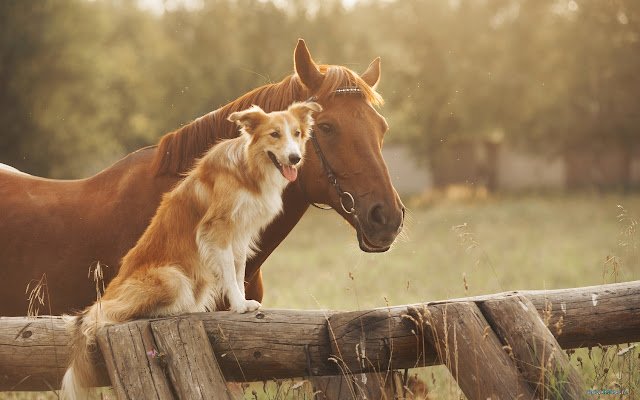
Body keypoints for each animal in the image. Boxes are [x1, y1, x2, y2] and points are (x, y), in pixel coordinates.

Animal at [60, 101, 320, 398]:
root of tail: (107, 295)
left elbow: (238, 270)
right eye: (274, 134)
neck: (248, 169)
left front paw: (242, 302)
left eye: (297, 133)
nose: (295, 158)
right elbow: (229, 273)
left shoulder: (240, 235)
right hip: (172, 278)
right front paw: (239, 305)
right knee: (105, 316)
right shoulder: (217, 230)